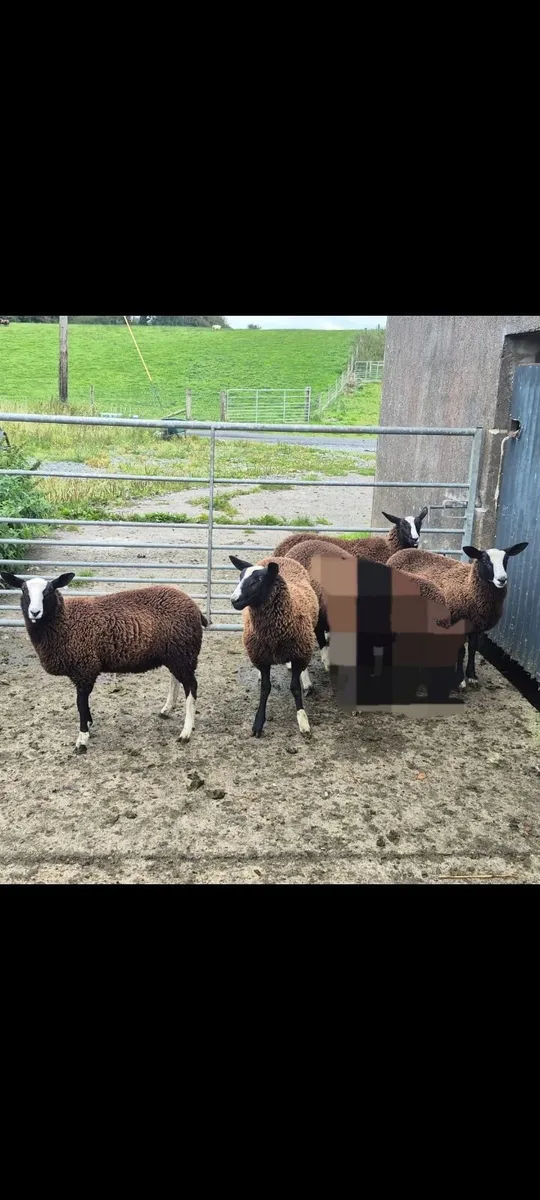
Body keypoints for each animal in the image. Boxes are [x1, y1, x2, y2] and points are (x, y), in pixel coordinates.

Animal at [1, 572, 207, 752]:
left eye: (49, 591)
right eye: (23, 590)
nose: (35, 612)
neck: (65, 621)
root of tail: (193, 606)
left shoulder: (85, 667)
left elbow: (80, 703)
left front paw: (82, 739)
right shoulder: (82, 670)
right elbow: (83, 704)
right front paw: (89, 724)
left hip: (183, 652)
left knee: (191, 686)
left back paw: (186, 732)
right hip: (176, 653)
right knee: (176, 678)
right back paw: (167, 709)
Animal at [229, 554, 319, 737]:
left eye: (258, 580)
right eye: (240, 577)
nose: (234, 600)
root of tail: (280, 558)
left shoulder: (299, 655)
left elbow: (295, 688)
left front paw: (303, 720)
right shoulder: (262, 658)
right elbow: (265, 688)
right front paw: (258, 723)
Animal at [385, 542, 528, 688]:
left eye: (506, 559)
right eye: (484, 559)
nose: (502, 579)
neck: (468, 586)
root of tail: (401, 552)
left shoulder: (476, 627)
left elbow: (472, 649)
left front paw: (471, 676)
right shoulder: (458, 622)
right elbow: (461, 651)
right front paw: (460, 679)